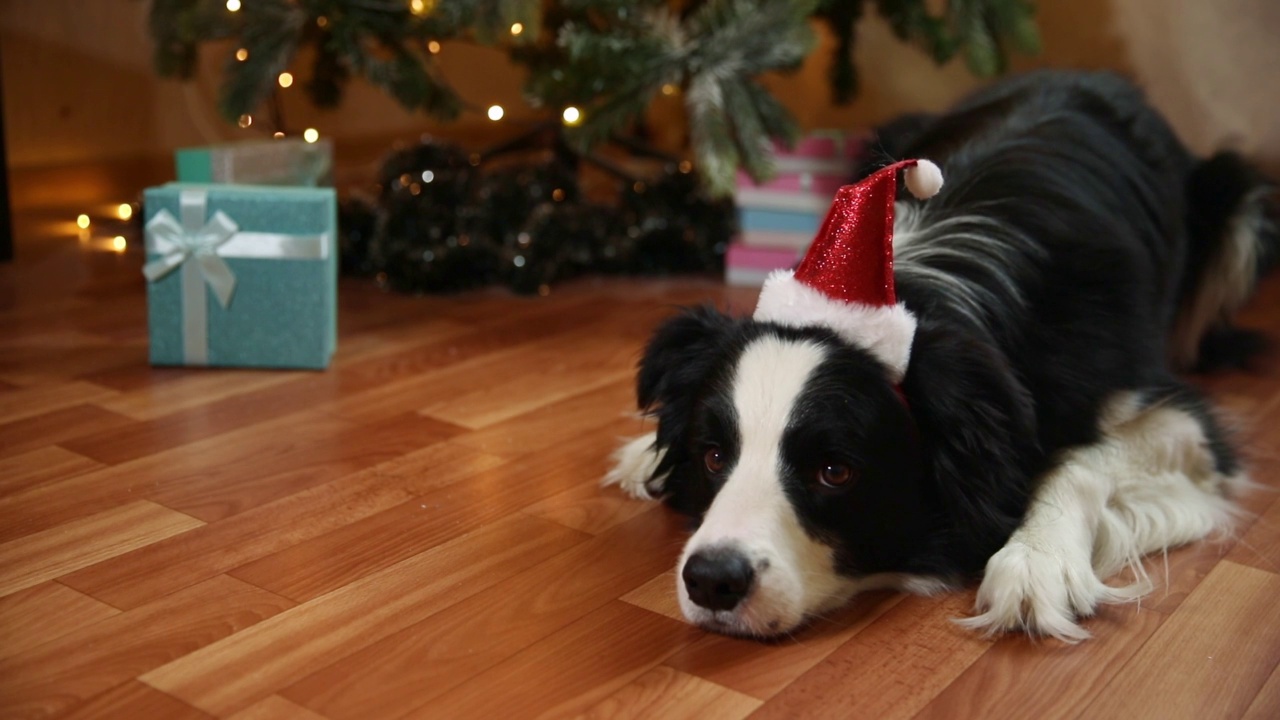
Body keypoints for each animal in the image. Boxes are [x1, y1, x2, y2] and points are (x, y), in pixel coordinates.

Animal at [604, 68, 1274, 638]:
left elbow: (1085, 456)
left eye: (834, 471)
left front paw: (1035, 560)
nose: (712, 580)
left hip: (1239, 202)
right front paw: (647, 450)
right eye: (714, 455)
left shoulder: (1174, 412)